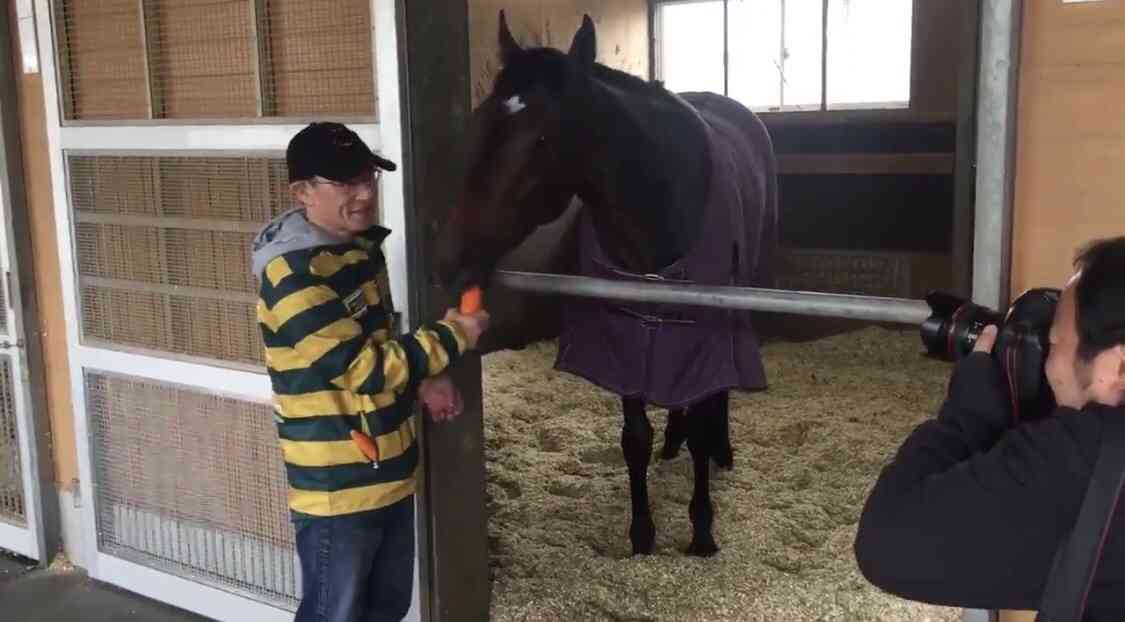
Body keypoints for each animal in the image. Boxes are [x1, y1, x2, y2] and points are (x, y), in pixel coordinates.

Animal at [435, 12, 778, 558]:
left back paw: (719, 451)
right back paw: (673, 441)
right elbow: (634, 437)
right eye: (479, 124)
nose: (450, 260)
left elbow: (705, 418)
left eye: (541, 139)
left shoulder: (705, 332)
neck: (662, 201)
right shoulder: (627, 333)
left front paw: (702, 530)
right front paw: (641, 534)